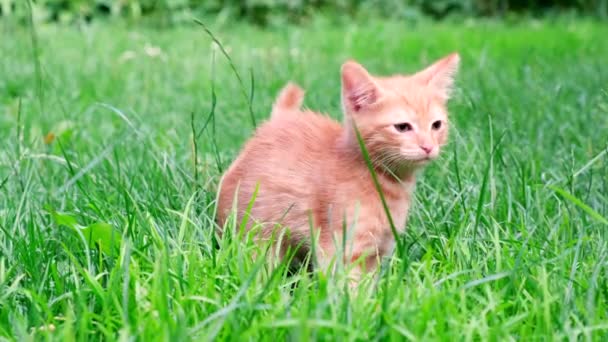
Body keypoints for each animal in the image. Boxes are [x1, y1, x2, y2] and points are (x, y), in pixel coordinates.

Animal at [218, 54, 460, 280]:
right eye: (402, 127)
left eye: (436, 125)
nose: (428, 147)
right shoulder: (340, 248)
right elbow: (346, 287)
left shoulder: (379, 250)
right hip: (254, 231)